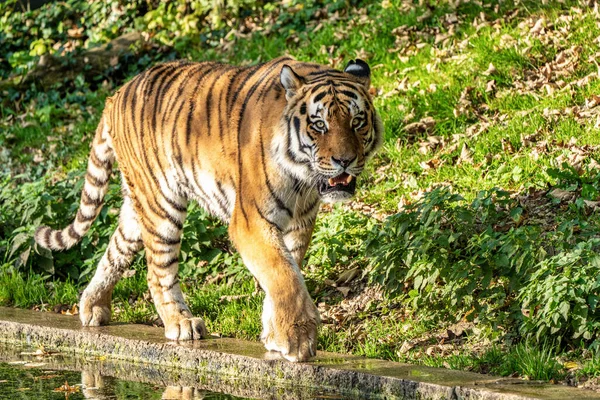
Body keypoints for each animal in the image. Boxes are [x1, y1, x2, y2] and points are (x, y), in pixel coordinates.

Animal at [35, 57, 384, 362]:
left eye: (356, 121)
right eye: (319, 124)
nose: (344, 160)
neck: (303, 179)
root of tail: (116, 94)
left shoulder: (300, 224)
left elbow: (285, 275)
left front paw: (275, 334)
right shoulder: (250, 221)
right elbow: (283, 277)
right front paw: (297, 340)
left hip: (138, 207)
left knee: (114, 250)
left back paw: (93, 307)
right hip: (162, 205)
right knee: (156, 271)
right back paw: (181, 323)